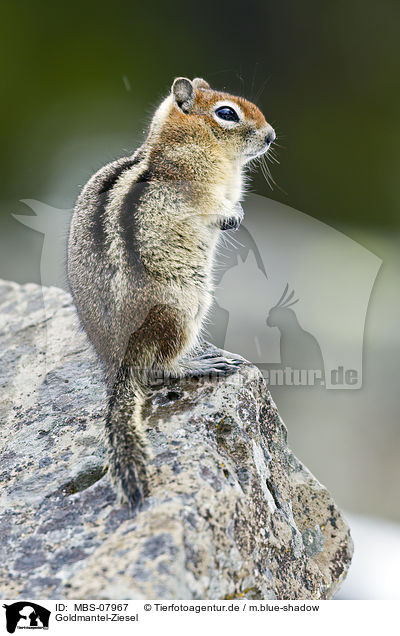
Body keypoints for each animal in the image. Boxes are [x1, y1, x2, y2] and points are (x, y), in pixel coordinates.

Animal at [68, 77, 276, 510]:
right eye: (227, 113)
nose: (271, 136)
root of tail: (118, 362)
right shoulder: (199, 188)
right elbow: (216, 206)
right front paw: (232, 217)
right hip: (185, 306)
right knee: (159, 368)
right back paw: (200, 362)